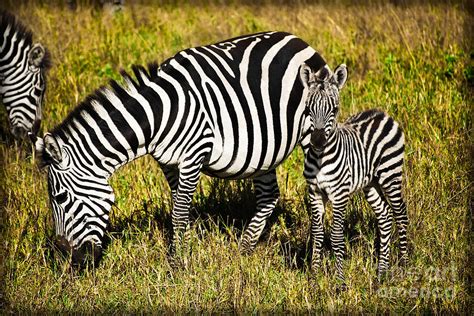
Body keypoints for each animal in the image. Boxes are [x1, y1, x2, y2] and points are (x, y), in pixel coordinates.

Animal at [30, 30, 344, 266]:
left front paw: (177, 263)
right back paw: (243, 251)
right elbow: (180, 207)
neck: (158, 115)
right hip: (264, 149)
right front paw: (186, 251)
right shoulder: (168, 163)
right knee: (268, 196)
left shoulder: (194, 155)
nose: (67, 258)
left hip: (312, 135)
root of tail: (296, 39)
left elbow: (179, 212)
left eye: (59, 198)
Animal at [300, 64, 408, 286]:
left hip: (390, 174)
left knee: (401, 214)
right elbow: (317, 234)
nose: (317, 142)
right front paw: (314, 278)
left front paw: (340, 282)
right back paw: (381, 273)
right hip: (371, 183)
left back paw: (403, 265)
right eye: (308, 109)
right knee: (385, 215)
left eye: (334, 109)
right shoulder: (314, 192)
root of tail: (382, 114)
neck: (320, 158)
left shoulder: (339, 193)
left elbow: (336, 236)